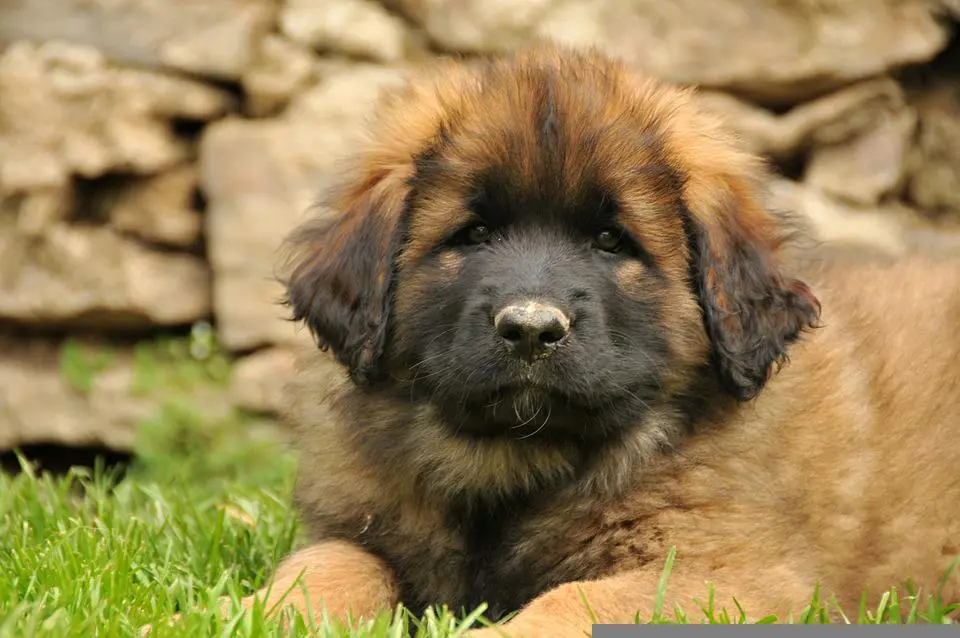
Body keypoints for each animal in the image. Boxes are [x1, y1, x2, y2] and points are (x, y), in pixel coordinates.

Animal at [246, 42, 960, 636]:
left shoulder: (734, 577)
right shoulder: (362, 526)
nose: (530, 330)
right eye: (473, 234)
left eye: (612, 241)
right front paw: (265, 610)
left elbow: (571, 603)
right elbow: (326, 565)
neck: (516, 469)